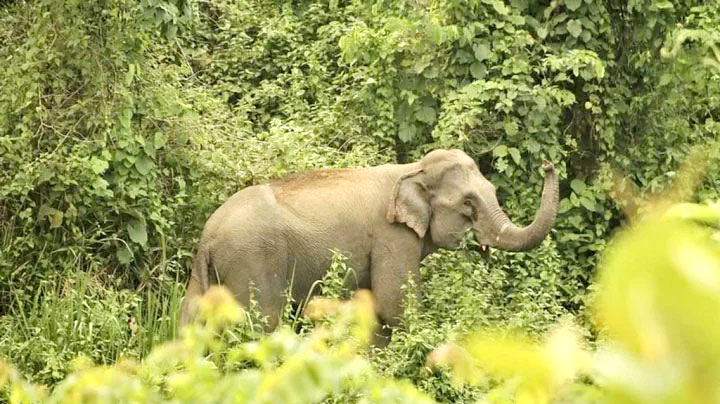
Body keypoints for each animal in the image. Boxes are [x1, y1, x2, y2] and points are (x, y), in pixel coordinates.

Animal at [179, 148, 556, 340]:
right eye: (468, 203)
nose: (548, 164)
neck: (412, 169)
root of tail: (208, 237)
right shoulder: (393, 237)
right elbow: (395, 306)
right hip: (254, 261)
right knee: (263, 325)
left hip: (204, 274)